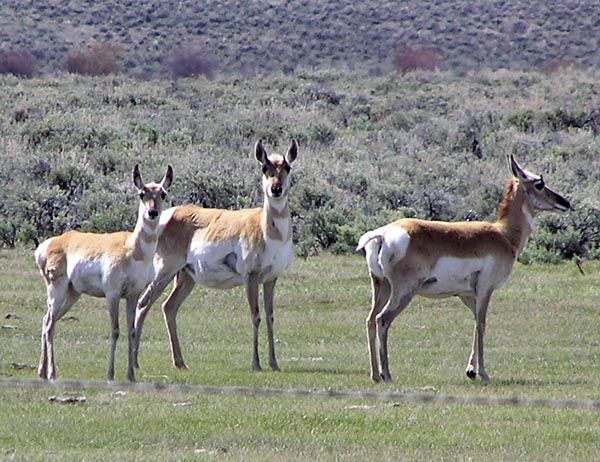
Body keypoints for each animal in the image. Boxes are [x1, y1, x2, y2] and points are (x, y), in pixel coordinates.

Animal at [36, 164, 173, 380]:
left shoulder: (133, 295)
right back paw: (52, 373)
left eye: (163, 194)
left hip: (72, 294)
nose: (152, 212)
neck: (133, 249)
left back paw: (41, 371)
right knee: (49, 325)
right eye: (142, 193)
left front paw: (131, 375)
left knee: (46, 320)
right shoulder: (112, 294)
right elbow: (115, 330)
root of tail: (52, 243)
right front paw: (110, 374)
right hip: (57, 291)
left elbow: (131, 331)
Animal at [134, 140, 298, 372]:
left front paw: (274, 364)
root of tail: (166, 215)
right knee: (143, 302)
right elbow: (255, 316)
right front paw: (256, 364)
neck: (267, 228)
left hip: (186, 278)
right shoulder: (250, 277)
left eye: (287, 167)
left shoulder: (271, 278)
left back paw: (180, 362)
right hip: (164, 272)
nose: (276, 189)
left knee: (169, 307)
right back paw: (135, 361)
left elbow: (270, 316)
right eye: (264, 167)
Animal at [356, 155, 572, 382]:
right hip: (404, 291)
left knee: (370, 320)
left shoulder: (466, 294)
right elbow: (482, 324)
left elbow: (476, 323)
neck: (503, 235)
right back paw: (386, 374)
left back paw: (375, 374)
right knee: (382, 320)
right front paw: (483, 372)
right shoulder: (485, 289)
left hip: (382, 287)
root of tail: (383, 233)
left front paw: (470, 370)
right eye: (539, 183)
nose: (565, 203)